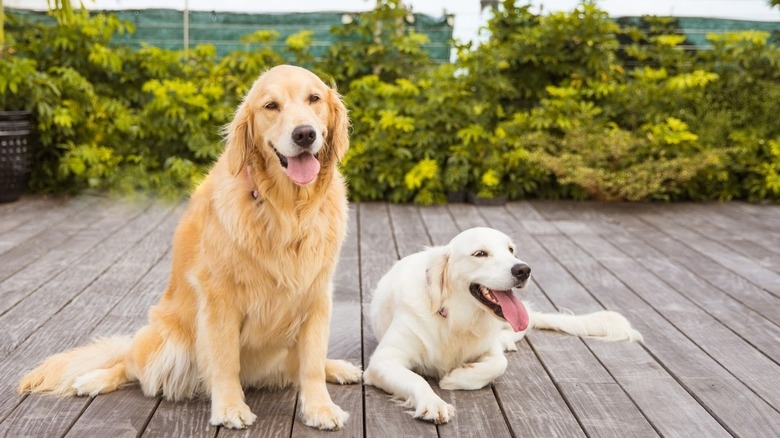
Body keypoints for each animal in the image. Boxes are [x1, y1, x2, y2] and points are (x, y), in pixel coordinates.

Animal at [18, 66, 360, 432]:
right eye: (271, 106)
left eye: (314, 99)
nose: (304, 134)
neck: (286, 210)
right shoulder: (220, 297)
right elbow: (225, 361)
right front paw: (230, 407)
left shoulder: (316, 295)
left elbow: (311, 363)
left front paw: (321, 407)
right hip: (169, 345)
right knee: (129, 365)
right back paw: (93, 379)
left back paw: (339, 367)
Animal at [362, 228, 644, 422]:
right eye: (480, 254)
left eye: (511, 250)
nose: (523, 269)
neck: (455, 318)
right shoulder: (383, 361)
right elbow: (417, 379)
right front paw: (434, 403)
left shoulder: (490, 349)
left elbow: (499, 364)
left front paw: (457, 377)